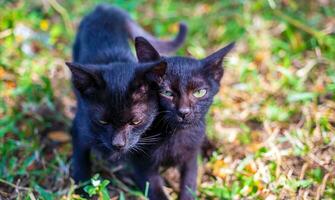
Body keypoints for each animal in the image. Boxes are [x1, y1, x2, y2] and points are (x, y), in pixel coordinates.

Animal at [68, 4, 188, 183]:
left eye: (136, 121)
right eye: (102, 121)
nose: (118, 144)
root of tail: (104, 8)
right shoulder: (80, 126)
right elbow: (81, 159)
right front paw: (81, 185)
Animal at [130, 38, 235, 200]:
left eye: (199, 92)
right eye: (166, 93)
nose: (184, 112)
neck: (174, 134)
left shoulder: (191, 157)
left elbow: (189, 182)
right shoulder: (140, 161)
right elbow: (154, 189)